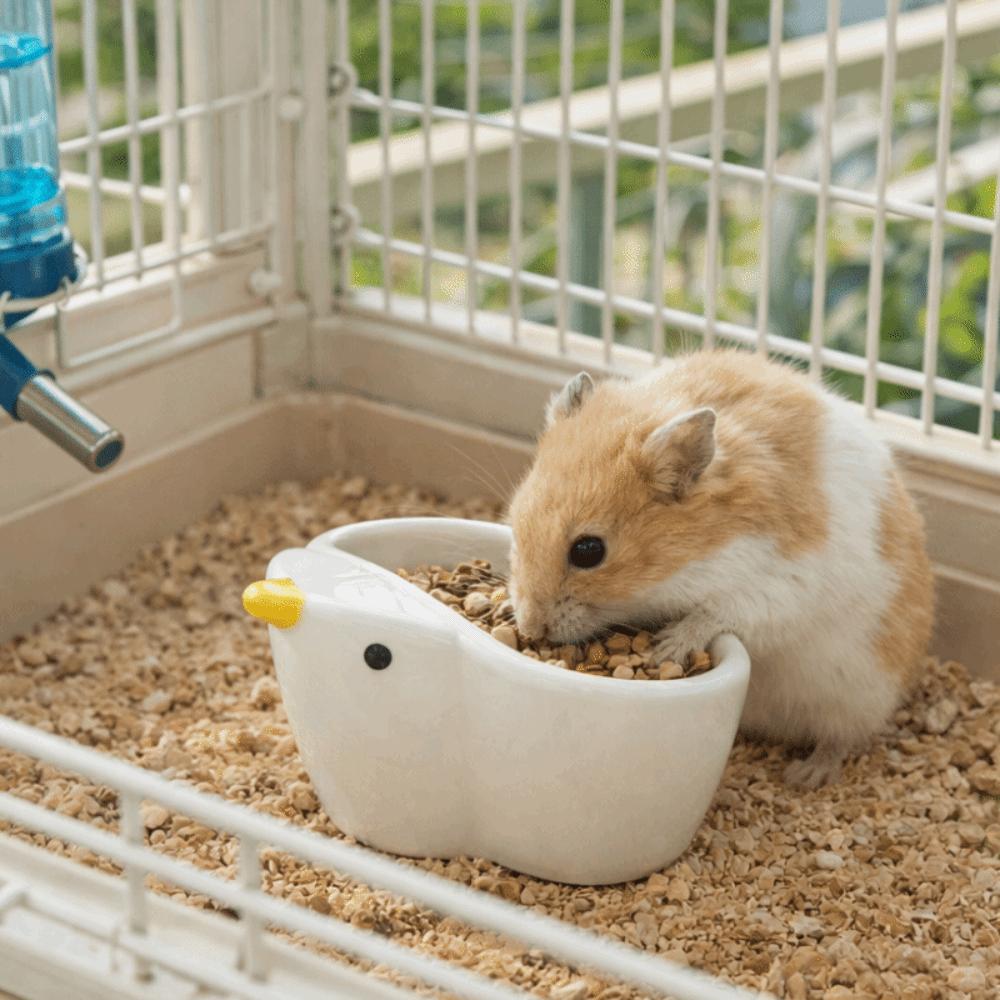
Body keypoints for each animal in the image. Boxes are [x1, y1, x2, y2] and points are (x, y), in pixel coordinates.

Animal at [506, 350, 934, 787]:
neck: (684, 563)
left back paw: (804, 775)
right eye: (517, 519)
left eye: (589, 551)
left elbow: (714, 614)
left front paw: (664, 649)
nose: (530, 629)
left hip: (858, 694)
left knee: (842, 738)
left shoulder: (778, 587)